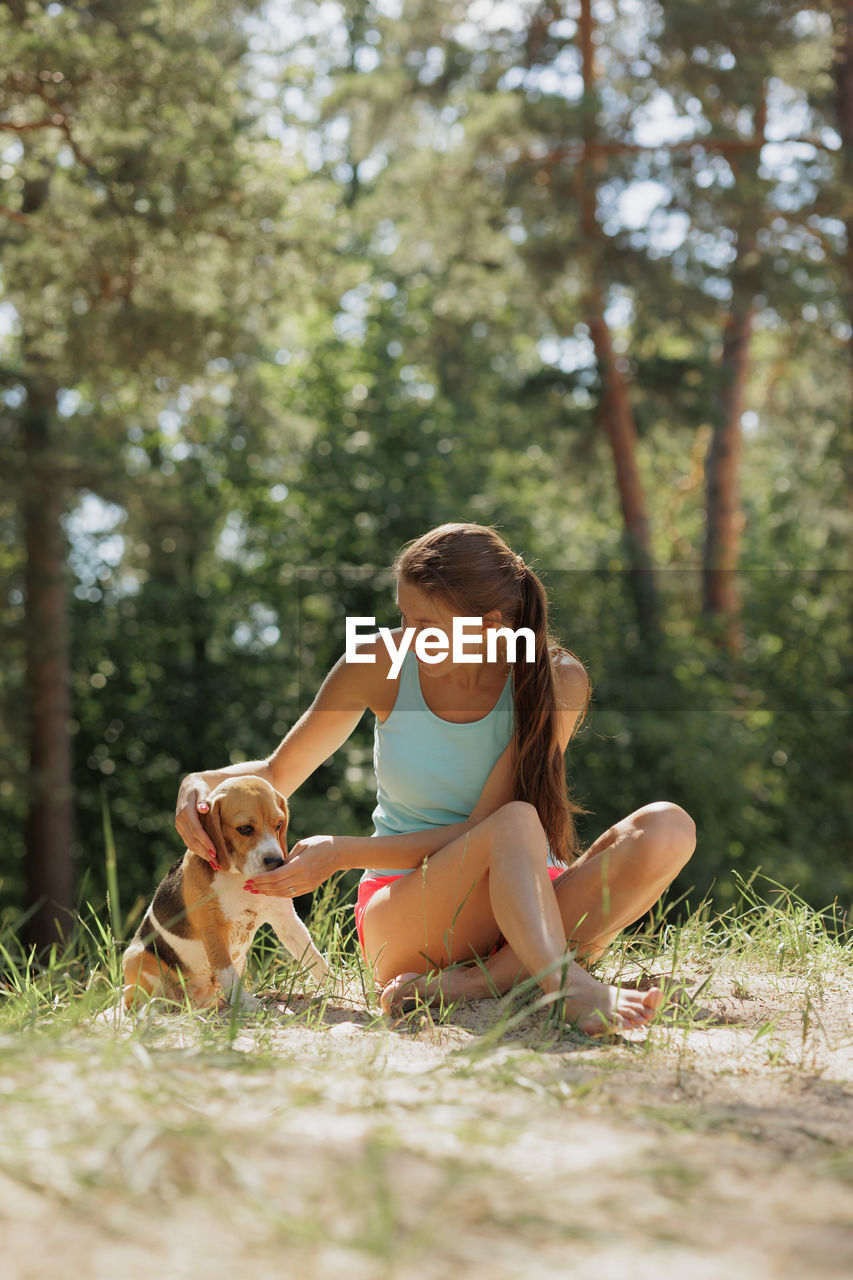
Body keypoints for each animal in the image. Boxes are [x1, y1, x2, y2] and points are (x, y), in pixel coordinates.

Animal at [121, 773, 326, 1013]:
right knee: (139, 1002)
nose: (276, 862)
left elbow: (314, 956)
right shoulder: (213, 931)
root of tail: (195, 1002)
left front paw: (337, 986)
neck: (238, 877)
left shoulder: (286, 921)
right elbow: (228, 973)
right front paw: (248, 1004)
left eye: (278, 824)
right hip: (134, 958)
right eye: (245, 829)